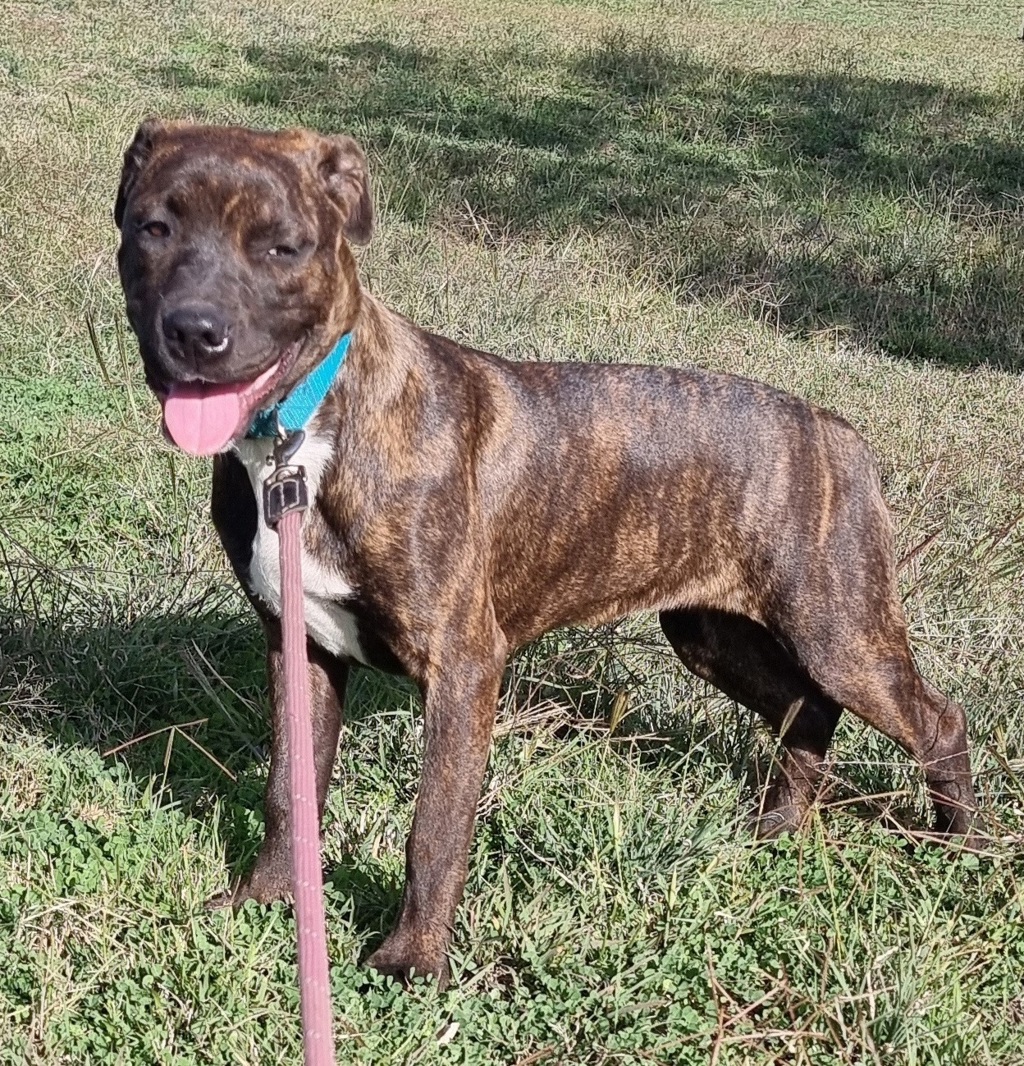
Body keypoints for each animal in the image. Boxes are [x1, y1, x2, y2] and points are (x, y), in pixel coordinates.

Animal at [114, 120, 977, 986]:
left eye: (282, 247)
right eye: (154, 228)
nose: (196, 331)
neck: (304, 435)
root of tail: (836, 430)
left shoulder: (462, 666)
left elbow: (435, 827)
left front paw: (412, 960)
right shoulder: (301, 648)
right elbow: (289, 791)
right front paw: (263, 901)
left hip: (840, 630)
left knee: (936, 718)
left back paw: (962, 845)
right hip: (713, 634)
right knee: (809, 710)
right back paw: (780, 829)